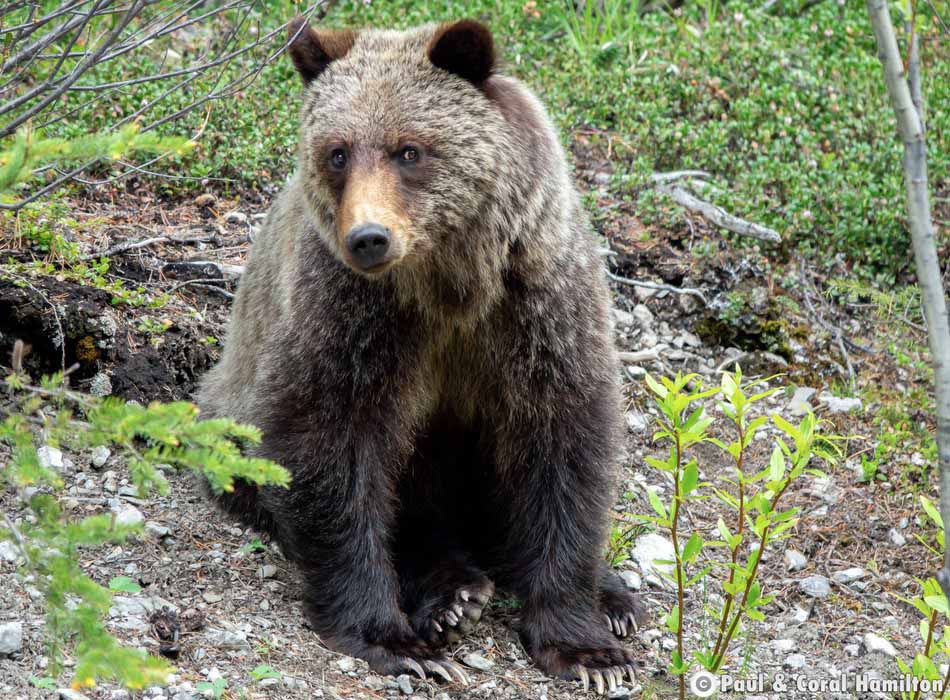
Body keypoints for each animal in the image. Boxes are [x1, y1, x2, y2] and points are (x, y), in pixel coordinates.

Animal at [200, 16, 648, 696]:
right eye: (337, 152)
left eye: (408, 150)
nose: (368, 237)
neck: (448, 283)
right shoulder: (353, 316)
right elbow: (331, 443)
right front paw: (393, 640)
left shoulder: (537, 304)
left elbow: (562, 447)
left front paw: (586, 646)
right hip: (230, 415)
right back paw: (454, 593)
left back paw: (614, 596)